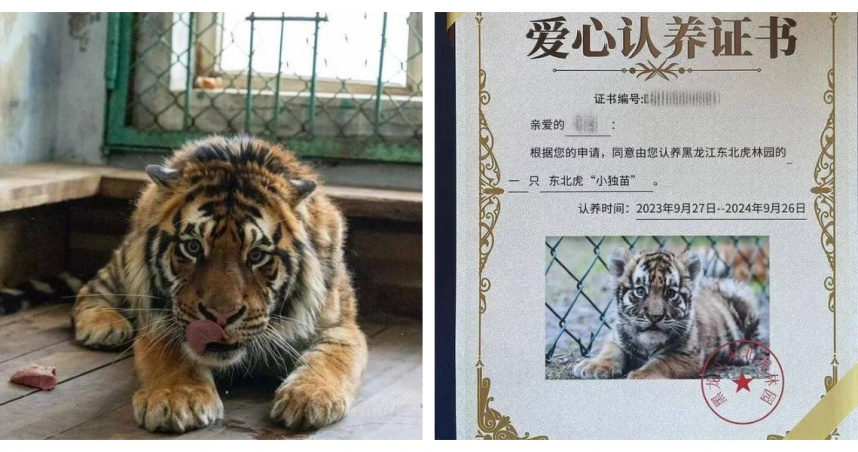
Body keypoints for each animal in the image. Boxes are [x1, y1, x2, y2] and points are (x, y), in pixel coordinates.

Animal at [71, 136, 367, 432]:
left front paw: (310, 397)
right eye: (192, 247)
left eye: (256, 255)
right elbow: (173, 351)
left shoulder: (340, 325)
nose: (221, 317)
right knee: (90, 289)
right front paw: (177, 398)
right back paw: (105, 326)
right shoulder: (159, 319)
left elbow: (330, 357)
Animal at [573, 248, 760, 379]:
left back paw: (741, 355)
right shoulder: (617, 338)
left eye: (670, 293)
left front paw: (640, 375)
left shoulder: (685, 354)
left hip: (741, 299)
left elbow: (660, 363)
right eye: (640, 291)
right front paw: (594, 366)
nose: (654, 317)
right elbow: (610, 351)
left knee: (753, 338)